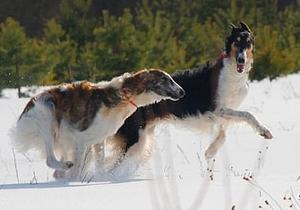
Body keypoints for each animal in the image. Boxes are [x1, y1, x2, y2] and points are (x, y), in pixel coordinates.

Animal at [11, 69, 185, 180]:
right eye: (166, 79)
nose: (183, 92)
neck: (123, 95)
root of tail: (29, 104)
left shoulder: (98, 140)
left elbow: (100, 162)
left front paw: (101, 177)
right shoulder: (81, 140)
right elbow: (78, 168)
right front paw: (75, 181)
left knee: (56, 171)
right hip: (47, 117)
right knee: (50, 160)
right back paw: (66, 166)